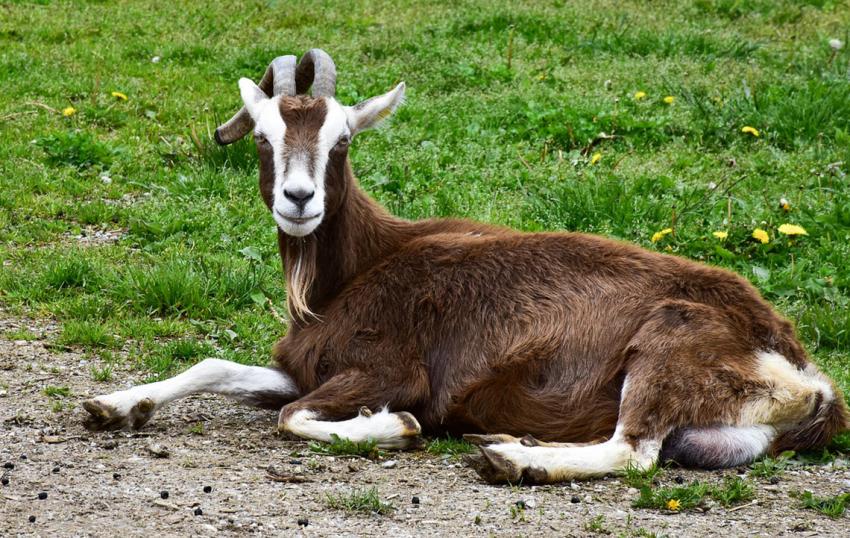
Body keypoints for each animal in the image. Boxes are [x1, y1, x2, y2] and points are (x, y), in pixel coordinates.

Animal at [83, 49, 849, 483]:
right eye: (266, 138)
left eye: (342, 140)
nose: (299, 200)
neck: (357, 271)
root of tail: (806, 374)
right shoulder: (307, 368)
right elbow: (216, 367)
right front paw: (113, 406)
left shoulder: (388, 370)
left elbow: (296, 418)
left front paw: (395, 428)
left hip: (669, 342)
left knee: (634, 452)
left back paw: (511, 457)